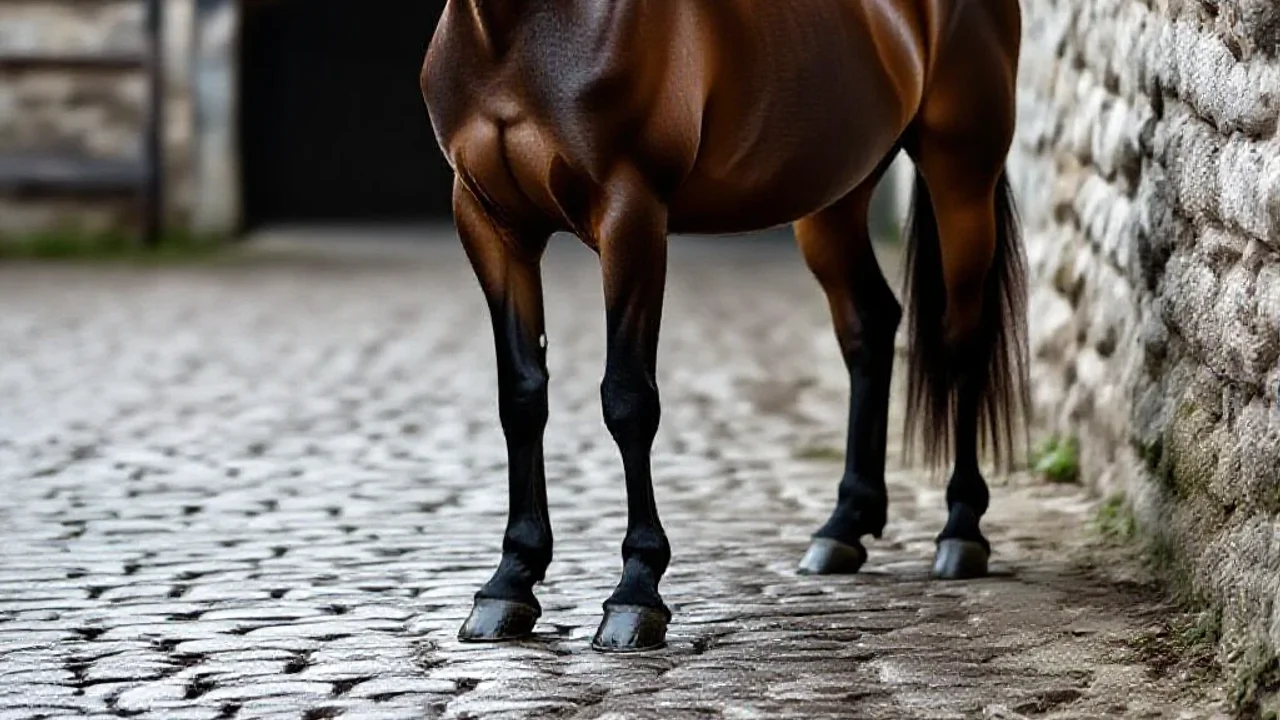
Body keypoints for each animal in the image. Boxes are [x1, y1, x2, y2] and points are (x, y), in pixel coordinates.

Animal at [421, 0, 1030, 653]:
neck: (514, 33)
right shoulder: (490, 223)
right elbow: (521, 399)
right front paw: (508, 583)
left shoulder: (631, 214)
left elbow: (628, 401)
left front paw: (636, 594)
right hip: (834, 195)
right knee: (870, 324)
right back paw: (843, 528)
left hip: (961, 174)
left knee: (962, 339)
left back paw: (961, 532)